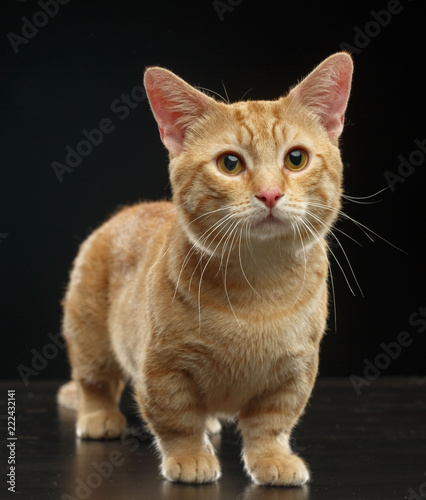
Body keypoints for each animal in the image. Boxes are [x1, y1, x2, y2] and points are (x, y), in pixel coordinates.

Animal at [58, 51, 354, 484]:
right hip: (89, 333)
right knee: (93, 380)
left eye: (295, 158)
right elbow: (176, 419)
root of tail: (127, 210)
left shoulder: (294, 371)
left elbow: (271, 423)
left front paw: (272, 459)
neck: (257, 286)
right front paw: (190, 457)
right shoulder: (163, 369)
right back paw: (98, 416)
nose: (270, 193)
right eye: (230, 163)